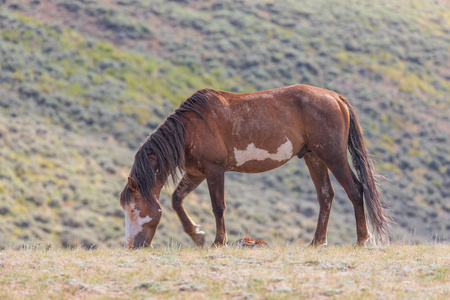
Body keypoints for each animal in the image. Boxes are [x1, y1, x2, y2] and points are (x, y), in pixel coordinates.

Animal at [119, 84, 390, 248]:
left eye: (133, 209)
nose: (133, 246)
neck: (190, 128)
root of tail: (335, 97)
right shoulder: (196, 173)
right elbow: (176, 200)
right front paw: (197, 235)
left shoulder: (214, 169)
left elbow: (218, 205)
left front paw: (218, 241)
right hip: (313, 157)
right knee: (326, 196)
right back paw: (317, 242)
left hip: (333, 156)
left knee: (355, 190)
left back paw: (361, 239)